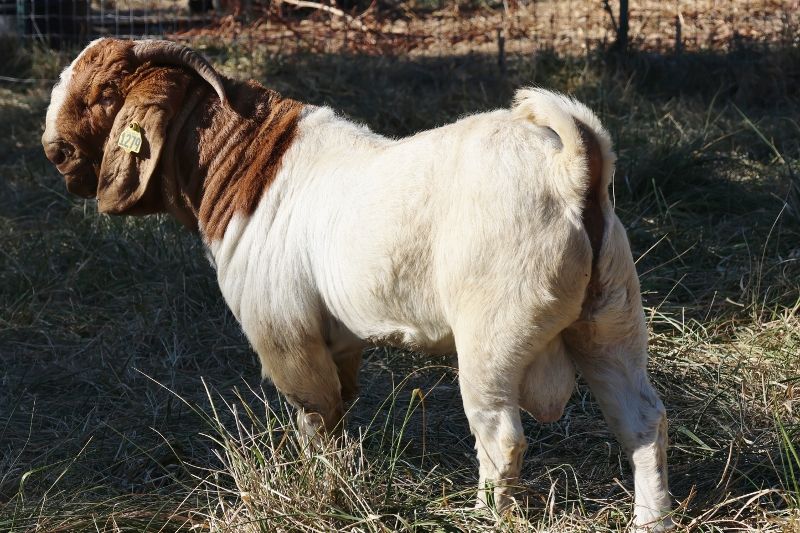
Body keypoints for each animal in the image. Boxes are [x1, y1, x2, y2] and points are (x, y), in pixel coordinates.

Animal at [42, 38, 676, 532]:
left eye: (105, 94)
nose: (55, 150)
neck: (248, 167)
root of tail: (571, 171)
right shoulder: (339, 341)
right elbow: (341, 411)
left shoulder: (287, 338)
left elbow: (316, 419)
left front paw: (321, 490)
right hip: (612, 323)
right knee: (643, 422)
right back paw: (651, 519)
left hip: (491, 340)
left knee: (501, 437)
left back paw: (479, 515)